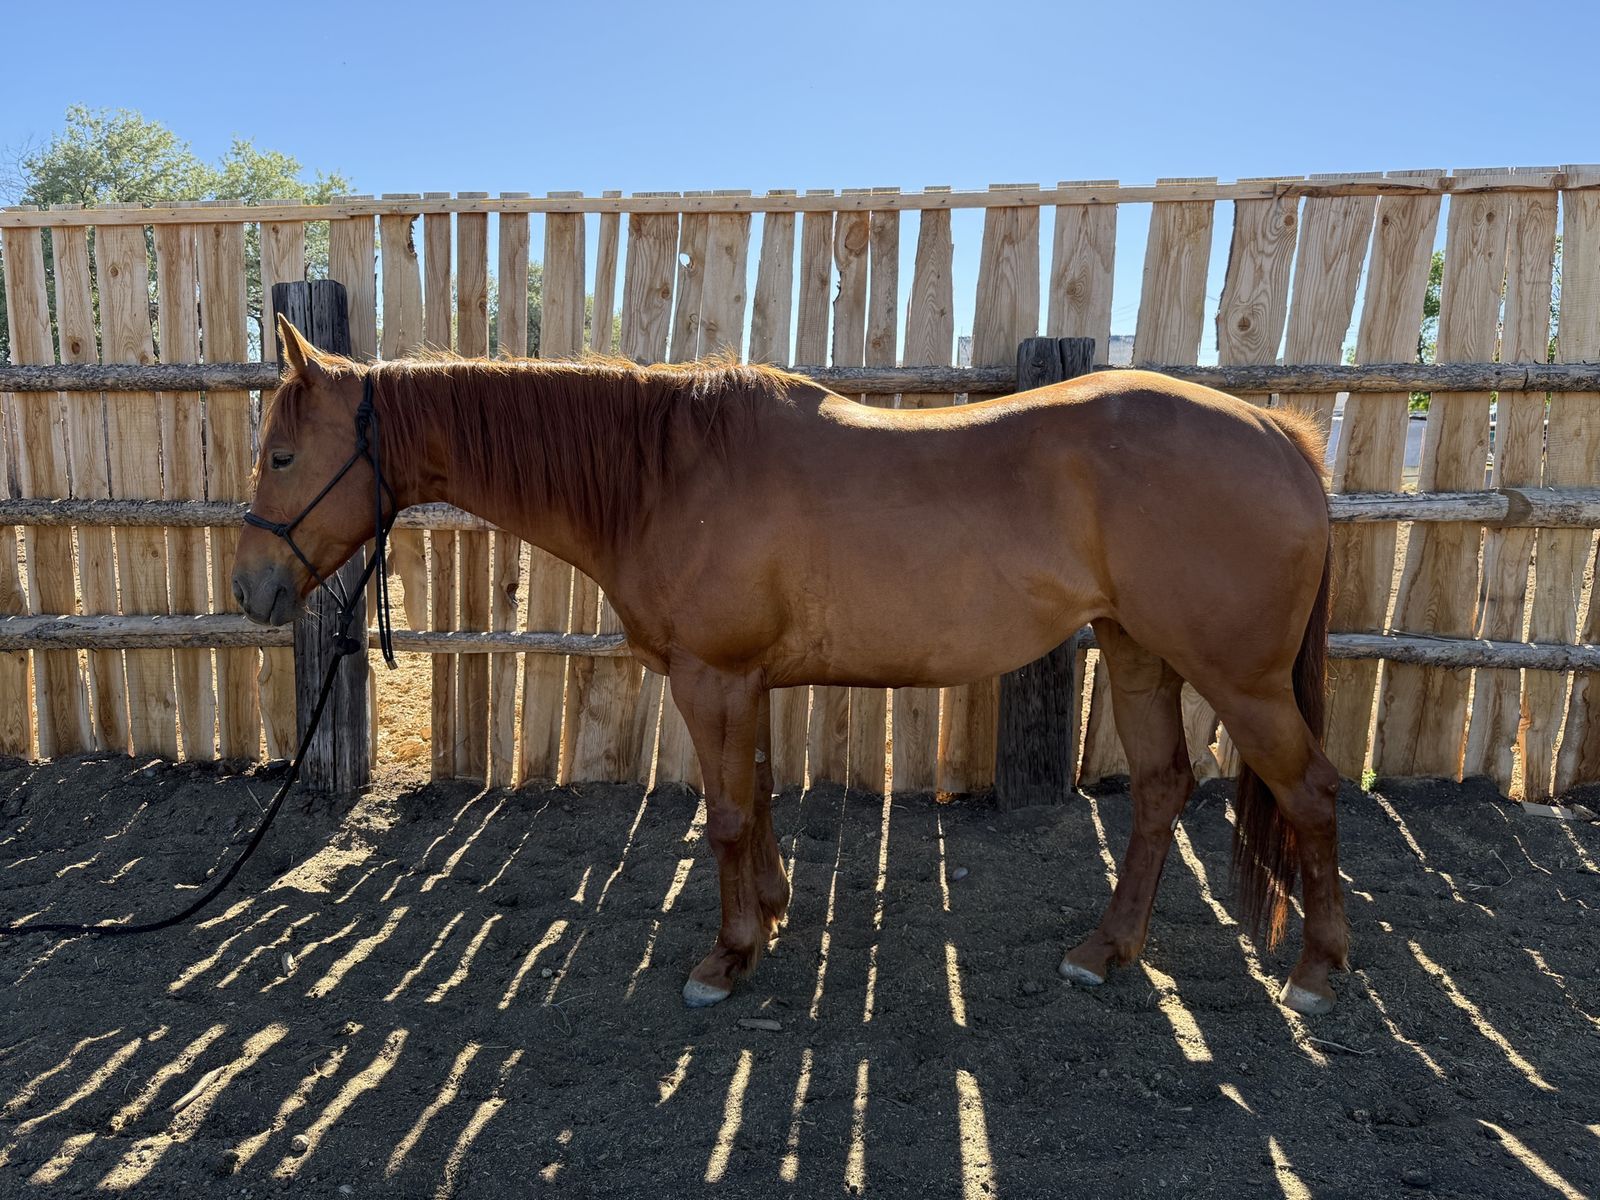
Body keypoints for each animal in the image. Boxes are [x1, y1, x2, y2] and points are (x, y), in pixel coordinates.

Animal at [233, 316, 1344, 1016]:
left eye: (282, 456)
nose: (250, 588)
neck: (664, 472)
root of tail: (1279, 435)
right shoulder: (745, 685)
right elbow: (759, 796)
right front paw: (767, 911)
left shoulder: (710, 678)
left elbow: (725, 814)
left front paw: (725, 959)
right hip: (1138, 652)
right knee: (1159, 790)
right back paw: (1105, 953)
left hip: (1240, 681)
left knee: (1313, 794)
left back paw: (1317, 972)